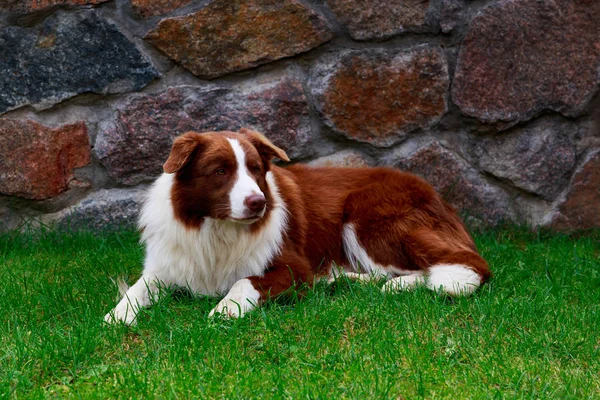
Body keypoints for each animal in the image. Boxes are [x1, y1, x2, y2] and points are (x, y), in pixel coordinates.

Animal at [104, 130, 488, 324]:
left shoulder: (294, 268)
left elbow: (244, 281)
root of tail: (437, 195)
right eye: (219, 171)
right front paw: (117, 315)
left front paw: (226, 308)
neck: (217, 230)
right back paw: (344, 279)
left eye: (256, 169)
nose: (258, 202)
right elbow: (137, 289)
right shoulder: (167, 264)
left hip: (367, 217)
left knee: (467, 265)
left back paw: (396, 284)